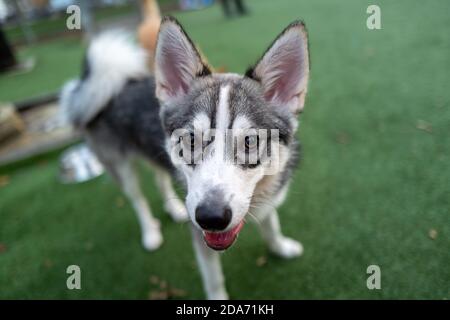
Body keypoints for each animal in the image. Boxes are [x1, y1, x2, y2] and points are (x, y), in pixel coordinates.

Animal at [60, 15, 310, 300]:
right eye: (191, 139)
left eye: (250, 141)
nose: (211, 217)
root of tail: (107, 83)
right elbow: (214, 278)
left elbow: (271, 225)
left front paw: (281, 247)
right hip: (120, 166)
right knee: (137, 199)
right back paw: (150, 233)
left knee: (159, 179)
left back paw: (175, 209)